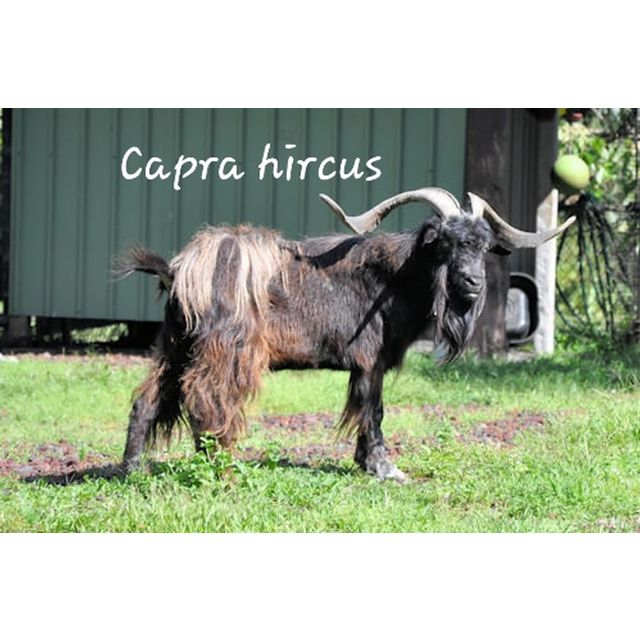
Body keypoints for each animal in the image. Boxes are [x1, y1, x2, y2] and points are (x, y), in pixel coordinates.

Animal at [117, 187, 574, 481]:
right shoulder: (369, 362)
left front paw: (365, 463)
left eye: (481, 244)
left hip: (174, 345)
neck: (393, 279)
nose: (473, 283)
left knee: (148, 400)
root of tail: (179, 271)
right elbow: (373, 412)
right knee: (205, 398)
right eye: (446, 241)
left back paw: (132, 470)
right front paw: (385, 468)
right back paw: (216, 464)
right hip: (222, 349)